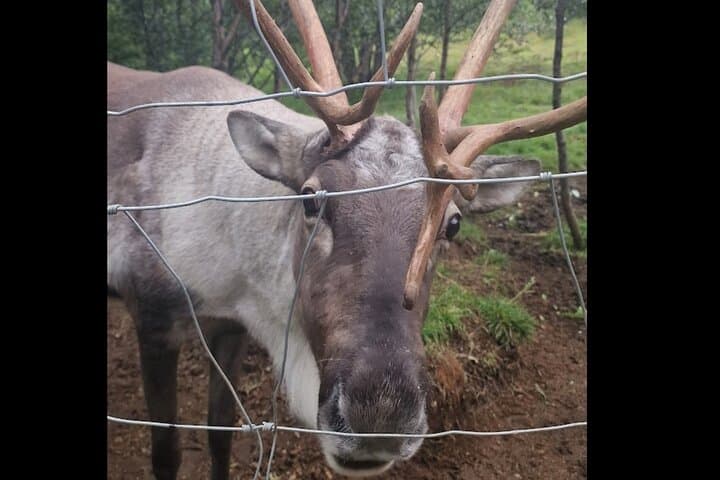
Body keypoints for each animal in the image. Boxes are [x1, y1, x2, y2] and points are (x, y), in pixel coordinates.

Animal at [107, 0, 587, 478]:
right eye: (310, 199)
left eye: (453, 224)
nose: (381, 417)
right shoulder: (153, 319)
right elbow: (166, 451)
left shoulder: (230, 328)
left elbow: (219, 435)